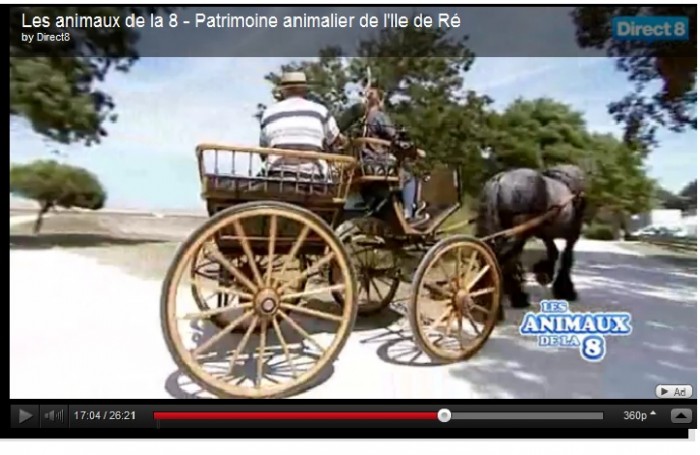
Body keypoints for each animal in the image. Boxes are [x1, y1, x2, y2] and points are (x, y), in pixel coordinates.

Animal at [473, 164, 587, 317]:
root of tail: (500, 180)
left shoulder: (545, 234)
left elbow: (554, 252)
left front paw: (545, 274)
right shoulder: (572, 235)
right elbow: (566, 259)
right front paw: (566, 290)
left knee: (493, 257)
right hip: (519, 232)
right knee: (503, 261)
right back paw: (506, 303)